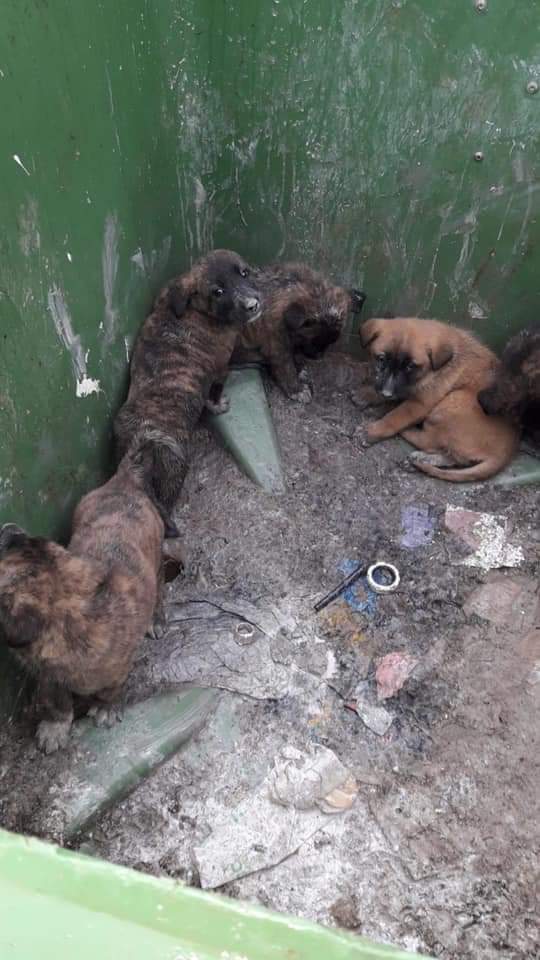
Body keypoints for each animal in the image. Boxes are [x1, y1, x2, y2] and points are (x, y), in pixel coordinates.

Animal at [0, 448, 164, 753]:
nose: (9, 530)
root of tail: (124, 482)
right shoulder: (49, 677)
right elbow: (57, 702)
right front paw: (55, 728)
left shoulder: (117, 669)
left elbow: (110, 690)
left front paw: (106, 708)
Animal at [114, 249, 261, 536]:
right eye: (218, 291)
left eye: (244, 273)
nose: (252, 305)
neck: (197, 309)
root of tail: (138, 441)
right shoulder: (220, 369)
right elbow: (214, 392)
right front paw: (218, 405)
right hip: (174, 471)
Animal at [231, 262, 366, 401]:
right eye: (314, 340)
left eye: (329, 342)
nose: (319, 357)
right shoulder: (276, 345)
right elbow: (286, 368)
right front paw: (296, 389)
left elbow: (293, 354)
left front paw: (299, 368)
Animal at [360, 317, 519, 481]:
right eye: (381, 359)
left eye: (410, 366)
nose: (387, 393)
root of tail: (505, 454)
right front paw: (367, 394)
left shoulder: (420, 404)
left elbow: (395, 418)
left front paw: (373, 431)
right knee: (452, 457)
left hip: (453, 401)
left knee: (428, 442)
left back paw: (408, 432)